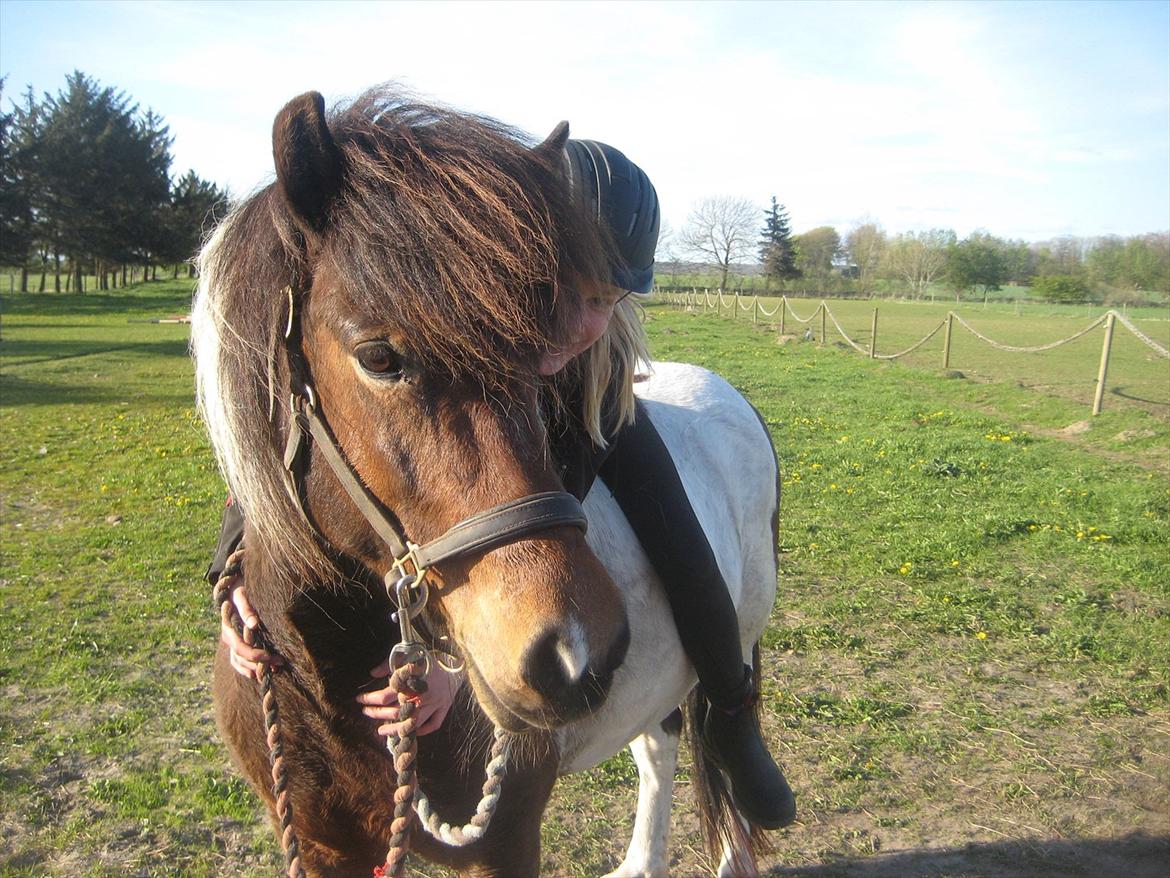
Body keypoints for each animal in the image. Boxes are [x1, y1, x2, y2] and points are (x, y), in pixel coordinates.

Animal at [189, 87, 776, 878]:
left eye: (542, 362)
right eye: (378, 356)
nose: (573, 654)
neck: (327, 684)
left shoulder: (503, 843)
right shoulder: (321, 846)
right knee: (661, 742)